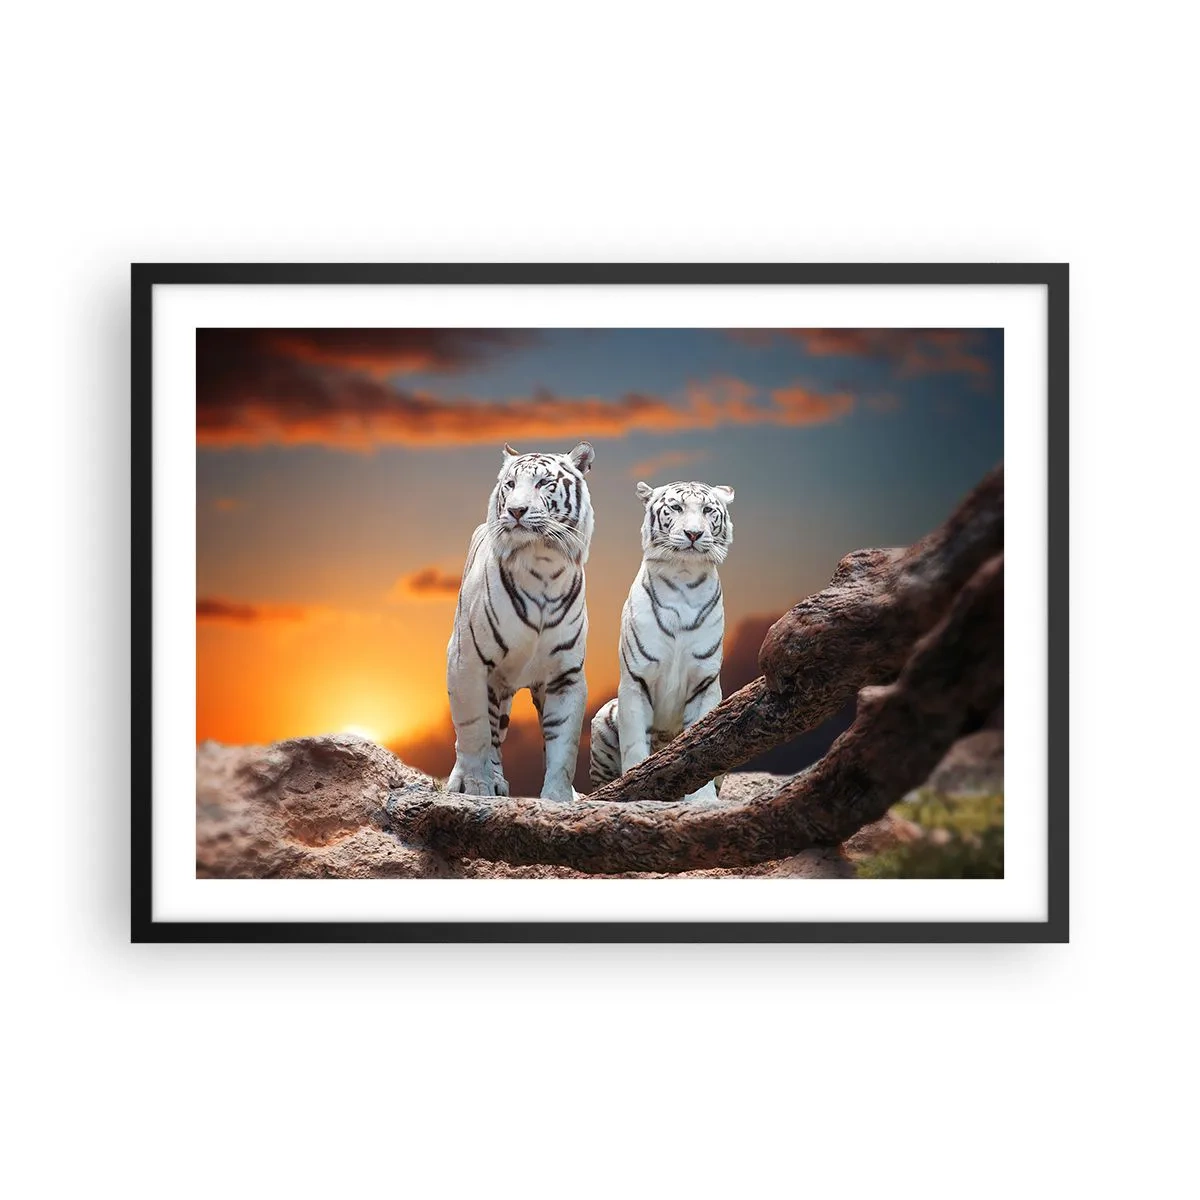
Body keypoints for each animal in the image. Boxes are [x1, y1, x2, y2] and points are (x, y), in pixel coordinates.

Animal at [446, 441, 596, 803]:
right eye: (510, 485)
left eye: (544, 483)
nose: (516, 511)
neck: (542, 563)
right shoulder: (466, 661)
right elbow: (473, 733)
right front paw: (476, 787)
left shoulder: (565, 674)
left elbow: (563, 744)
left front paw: (559, 798)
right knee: (485, 734)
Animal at [590, 479, 734, 803]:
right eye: (676, 507)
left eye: (708, 510)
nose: (694, 533)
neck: (684, 578)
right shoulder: (636, 679)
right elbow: (634, 746)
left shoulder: (705, 683)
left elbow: (703, 744)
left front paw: (702, 800)